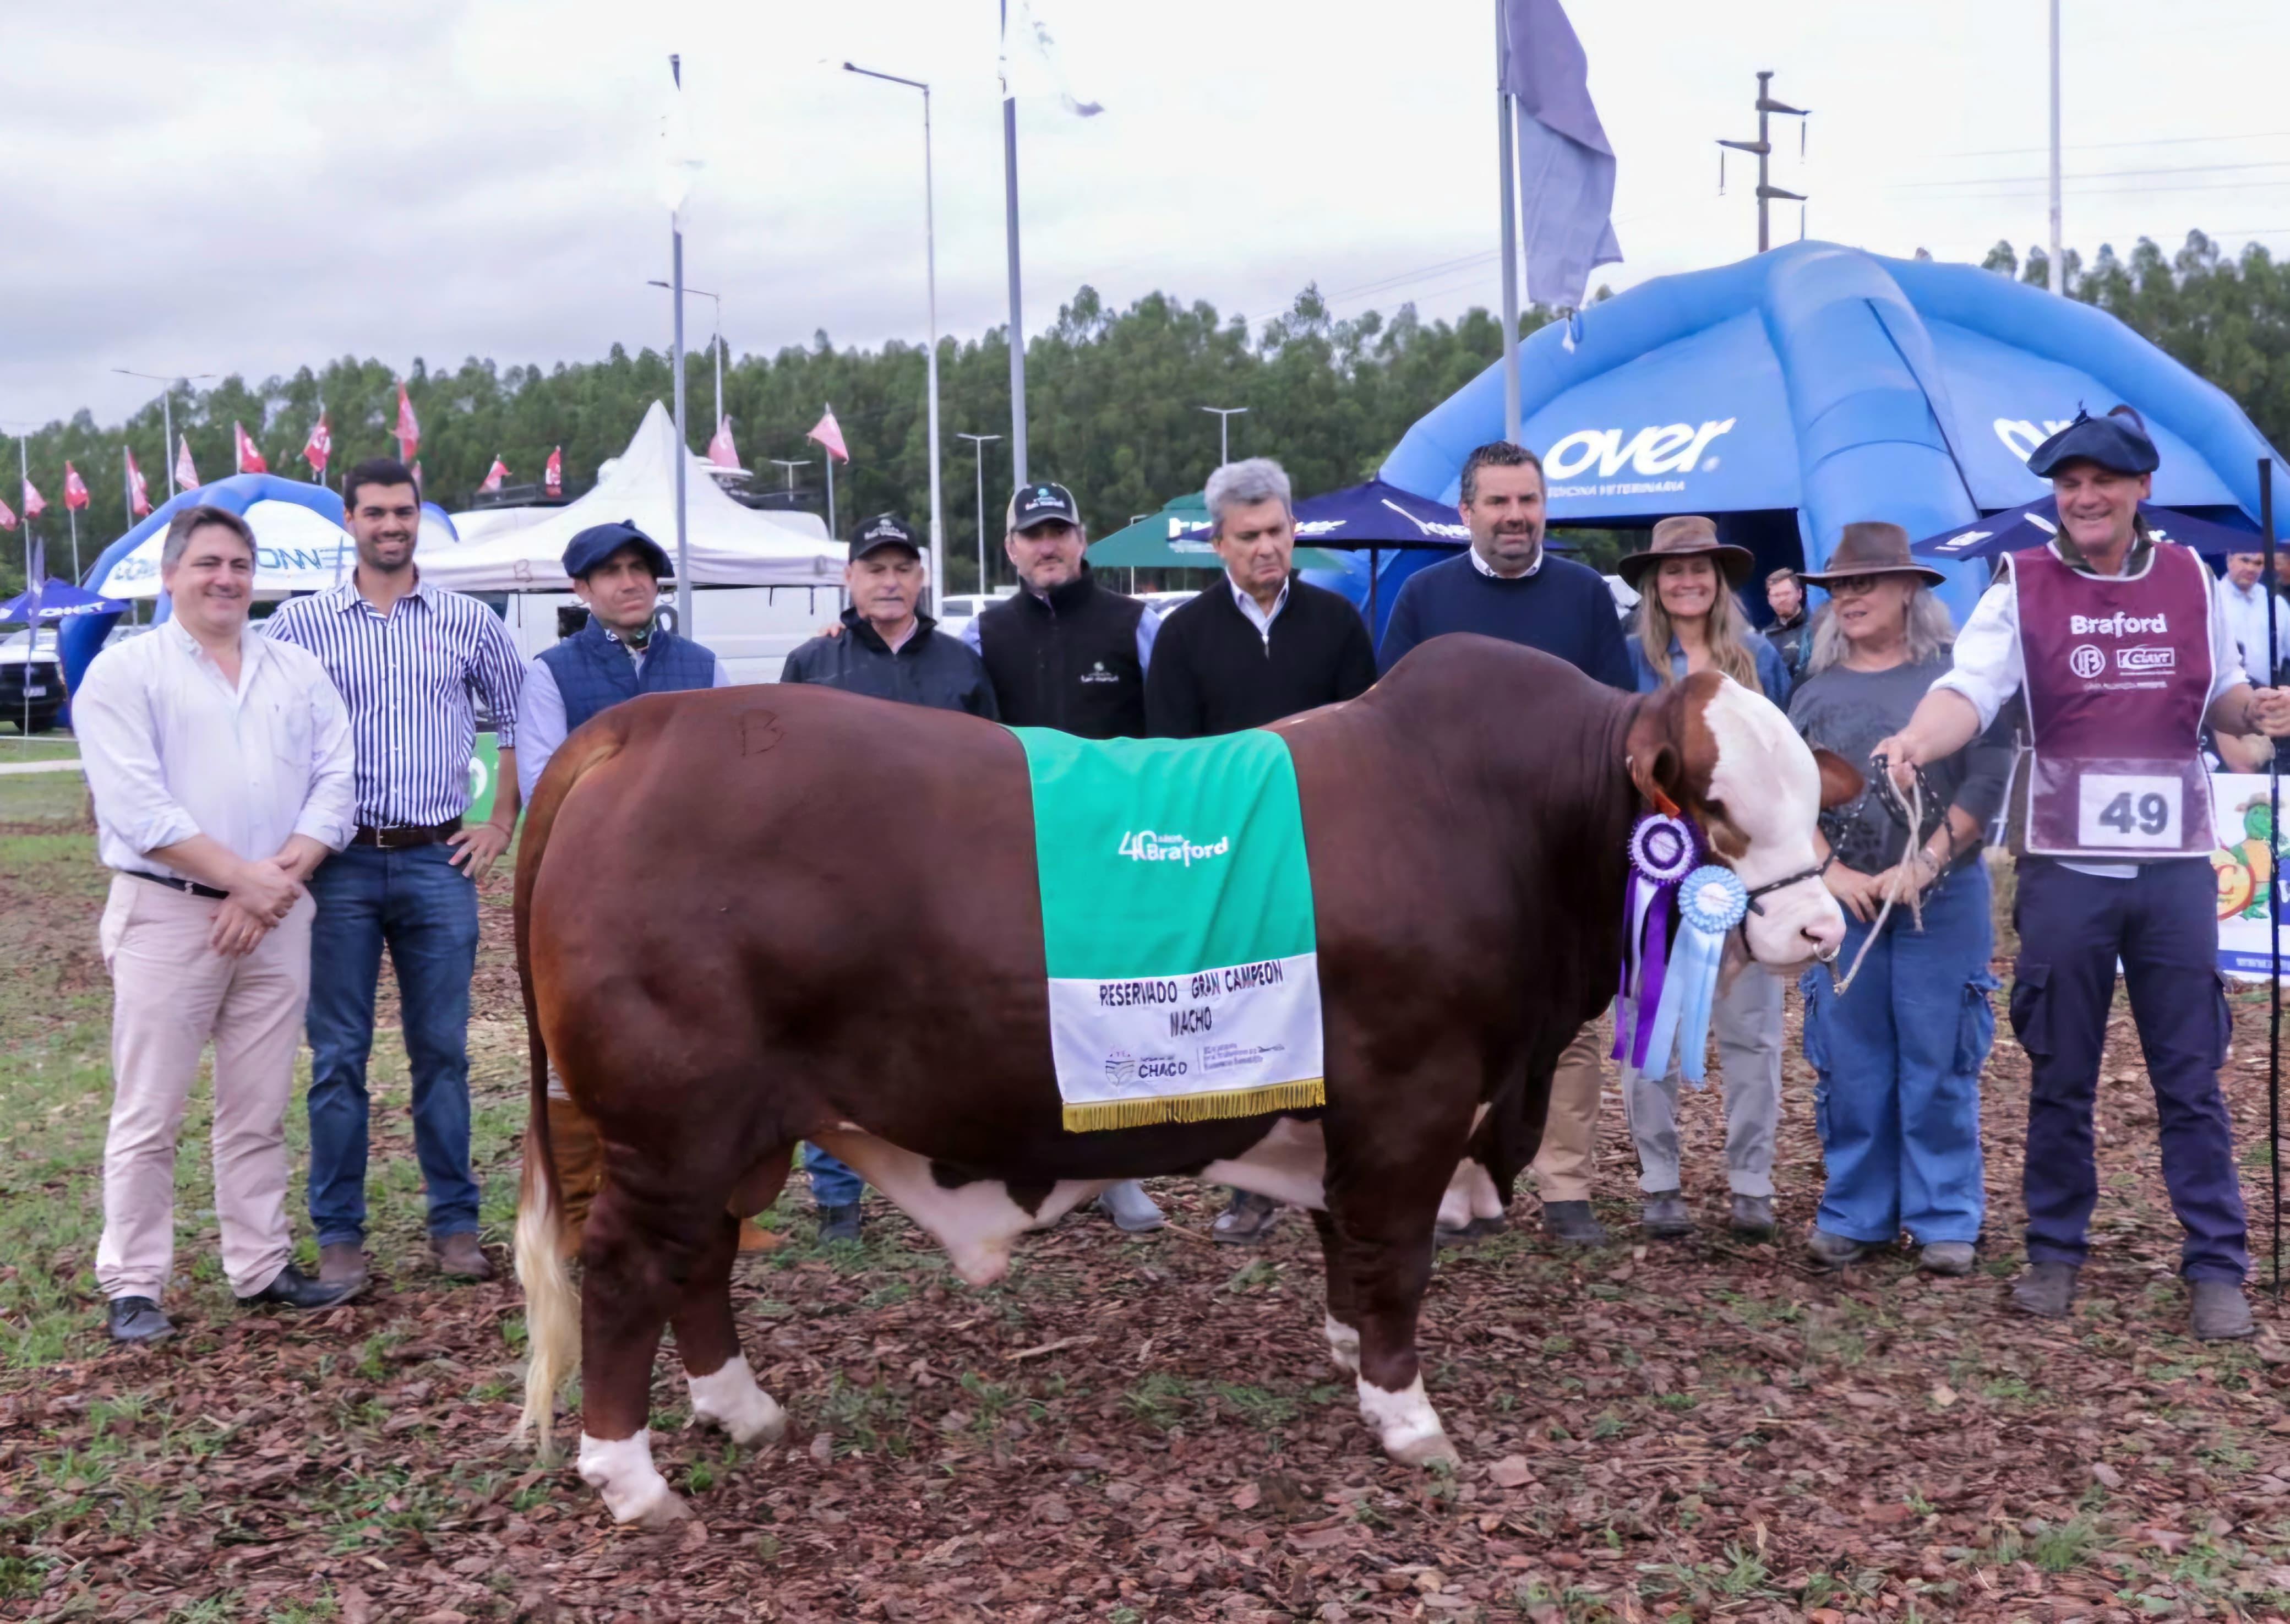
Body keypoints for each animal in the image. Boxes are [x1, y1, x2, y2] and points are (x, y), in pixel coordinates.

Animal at [510, 632, 1850, 1521]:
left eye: (1811, 799)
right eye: (1712, 803)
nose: (1820, 929)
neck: (1501, 815)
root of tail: (643, 725)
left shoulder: (1347, 1111)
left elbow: (1348, 1242)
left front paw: (1347, 1352)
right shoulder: (1413, 1098)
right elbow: (1398, 1256)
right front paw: (1407, 1414)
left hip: (736, 1129)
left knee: (703, 1259)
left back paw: (742, 1409)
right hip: (671, 1122)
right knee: (627, 1268)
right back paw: (630, 1476)